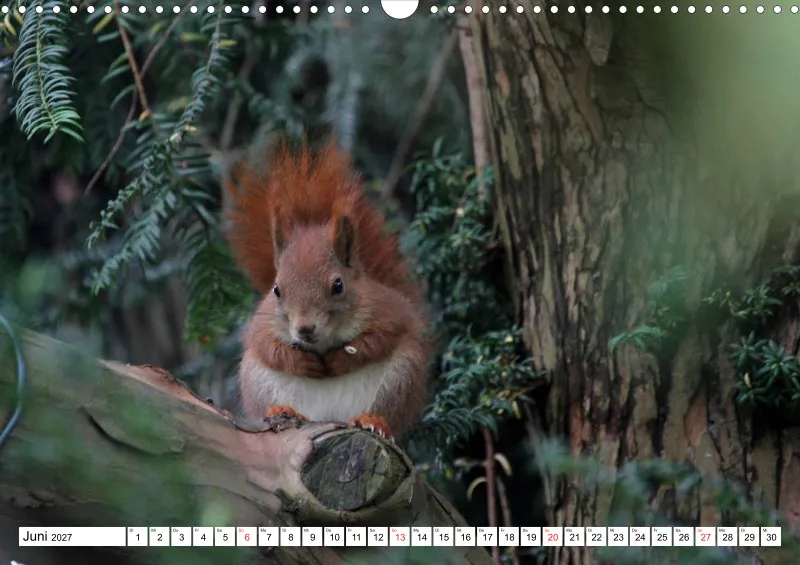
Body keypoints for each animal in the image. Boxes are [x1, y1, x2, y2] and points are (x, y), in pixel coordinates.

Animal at [223, 140, 431, 441]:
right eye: (276, 289)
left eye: (338, 285)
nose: (304, 328)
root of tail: (329, 416)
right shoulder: (261, 323)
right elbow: (265, 344)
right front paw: (300, 361)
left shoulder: (389, 310)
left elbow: (380, 338)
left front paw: (341, 360)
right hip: (257, 380)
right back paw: (281, 410)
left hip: (402, 376)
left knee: (387, 412)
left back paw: (374, 420)